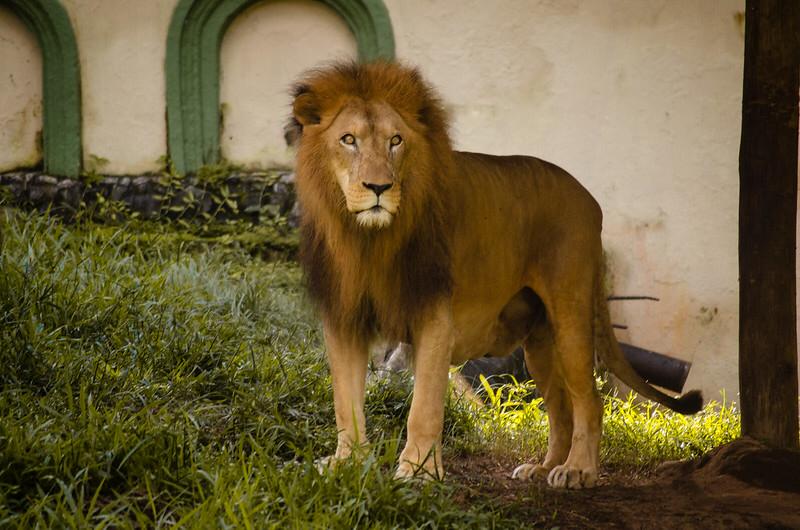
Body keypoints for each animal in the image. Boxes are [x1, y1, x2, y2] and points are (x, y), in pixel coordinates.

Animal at [288, 60, 700, 486]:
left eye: (395, 141)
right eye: (348, 139)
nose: (378, 187)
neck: (368, 241)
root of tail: (590, 198)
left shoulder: (435, 318)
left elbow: (424, 408)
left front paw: (419, 472)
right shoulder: (344, 320)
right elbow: (345, 401)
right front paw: (346, 462)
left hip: (571, 314)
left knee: (589, 398)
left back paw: (577, 470)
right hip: (538, 344)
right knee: (560, 406)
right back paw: (543, 467)